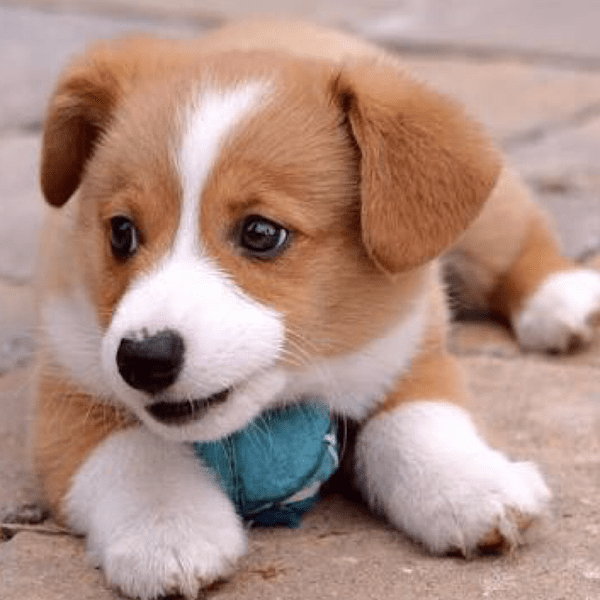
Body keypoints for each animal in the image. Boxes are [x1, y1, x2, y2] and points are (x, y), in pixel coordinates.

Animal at [31, 19, 600, 600]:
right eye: (121, 232)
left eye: (261, 233)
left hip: (487, 221)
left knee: (520, 240)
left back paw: (561, 301)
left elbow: (417, 422)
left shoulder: (412, 348)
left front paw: (471, 487)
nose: (143, 360)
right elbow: (134, 452)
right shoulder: (67, 386)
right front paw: (167, 530)